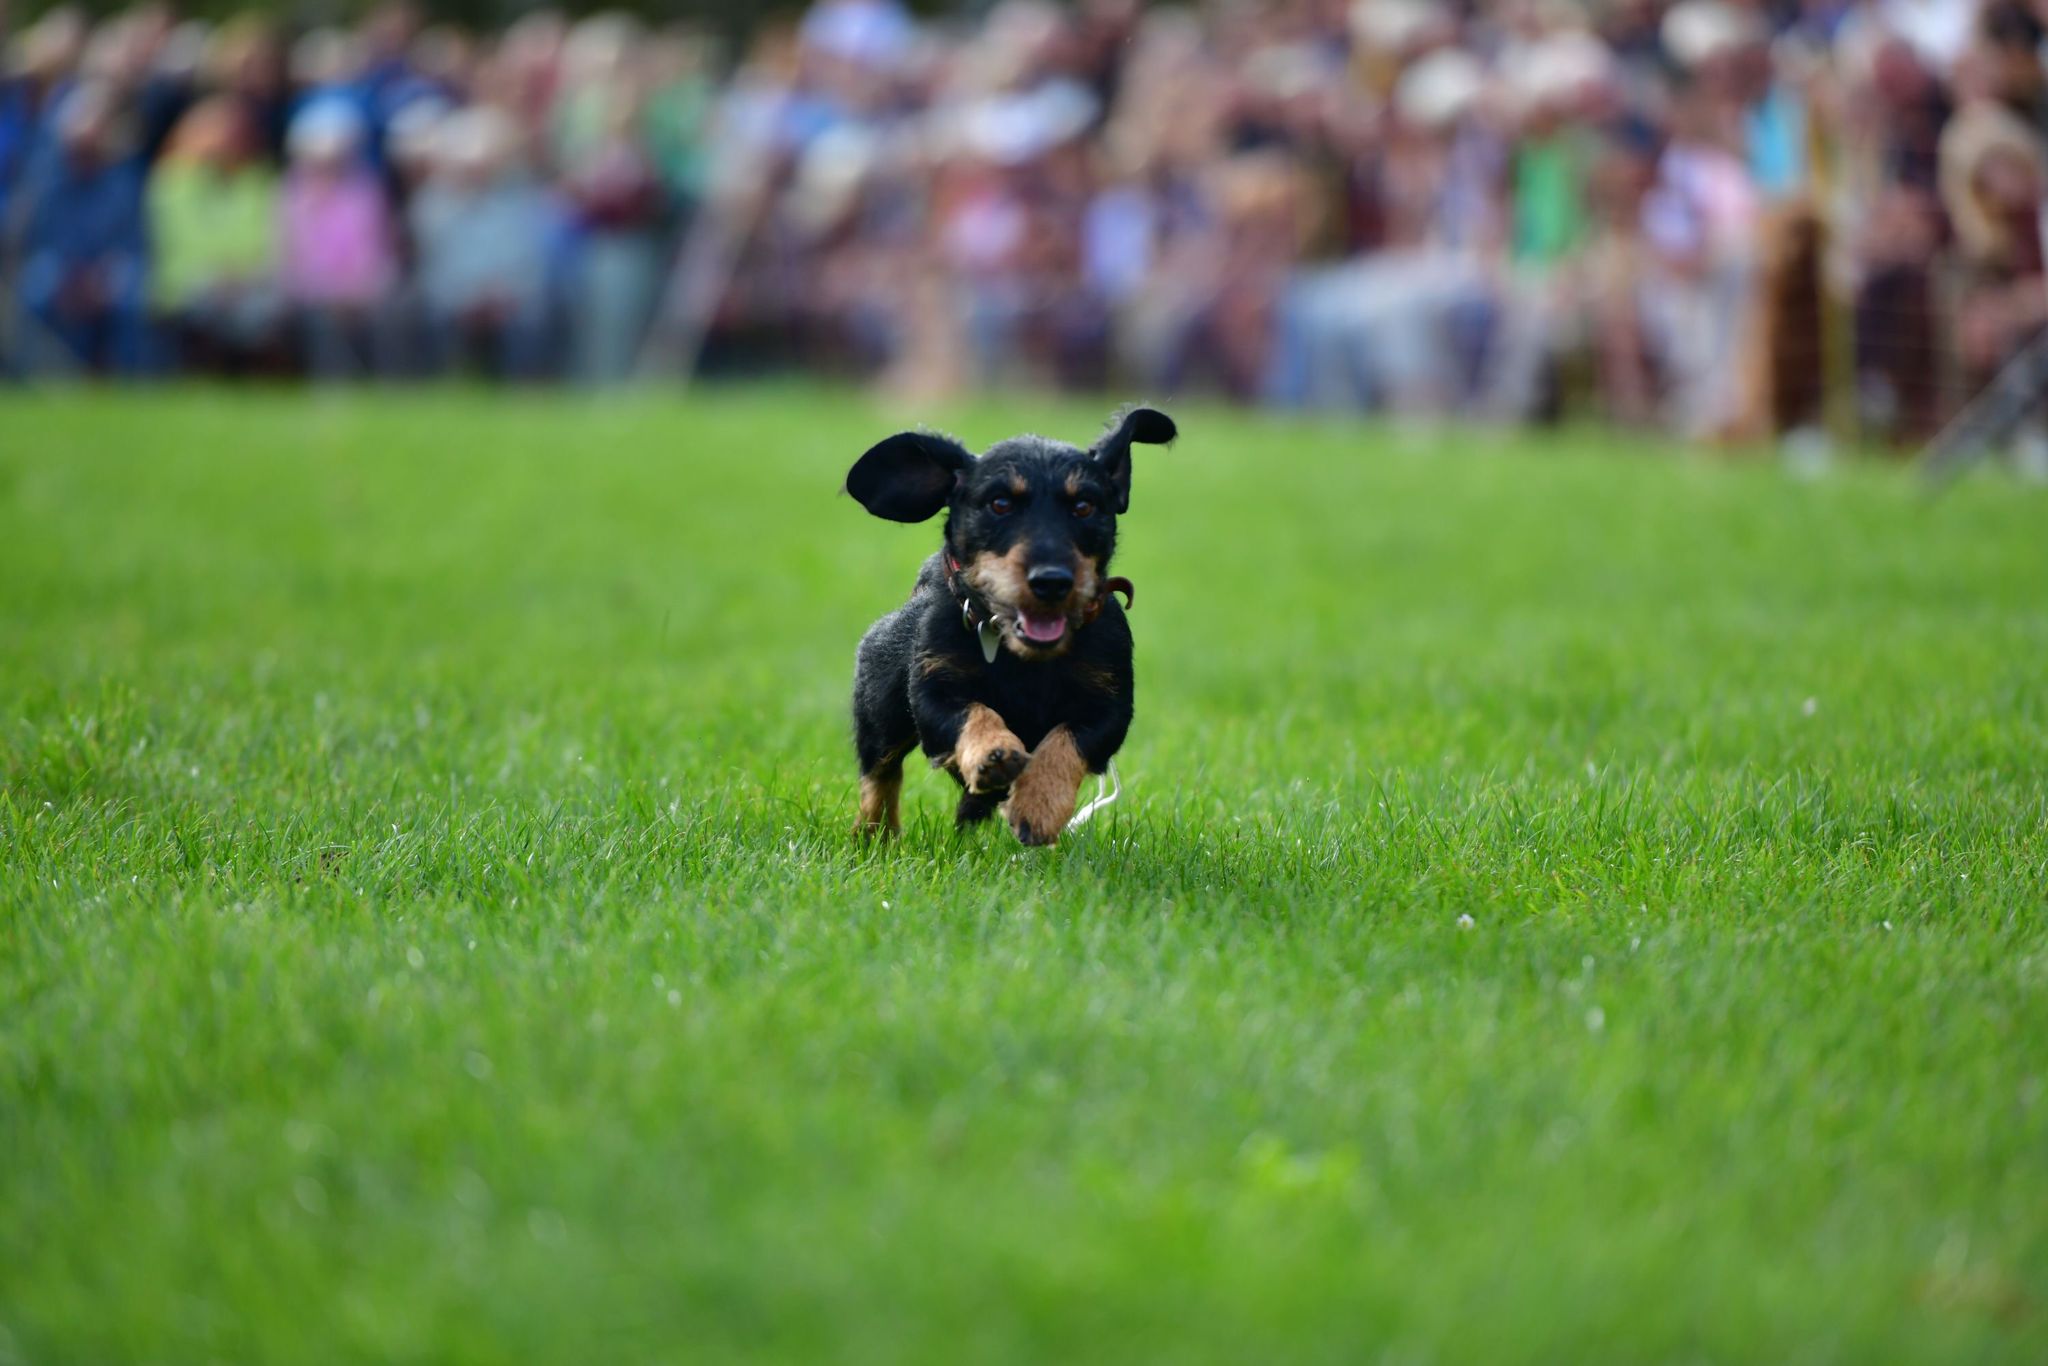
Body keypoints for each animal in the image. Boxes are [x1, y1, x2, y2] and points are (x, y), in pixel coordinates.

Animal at [839, 405, 1179, 843]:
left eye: (1084, 506)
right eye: (1000, 503)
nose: (1051, 581)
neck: (1024, 659)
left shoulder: (1109, 706)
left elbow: (1067, 740)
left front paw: (1038, 804)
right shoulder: (934, 690)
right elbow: (973, 712)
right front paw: (992, 753)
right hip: (880, 703)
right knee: (880, 771)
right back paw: (875, 834)